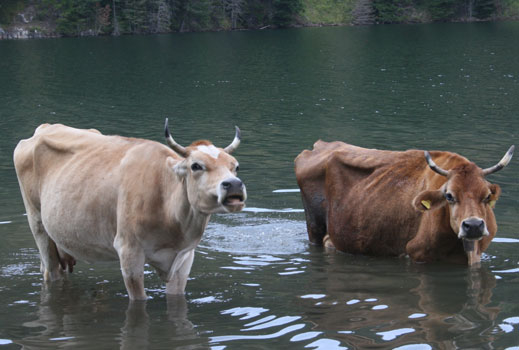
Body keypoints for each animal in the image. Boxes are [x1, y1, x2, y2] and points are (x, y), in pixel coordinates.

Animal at [12, 119, 248, 300]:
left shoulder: (184, 257)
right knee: (50, 272)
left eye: (235, 166)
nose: (234, 184)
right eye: (196, 165)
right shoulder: (128, 251)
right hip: (38, 224)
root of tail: (45, 127)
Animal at [294, 142, 512, 266]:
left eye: (486, 196)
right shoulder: (417, 253)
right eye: (449, 196)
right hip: (313, 226)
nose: (473, 225)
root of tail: (319, 146)